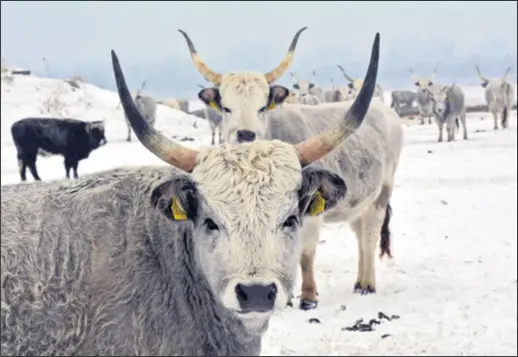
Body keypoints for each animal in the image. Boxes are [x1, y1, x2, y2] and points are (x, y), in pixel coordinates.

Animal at [179, 29, 406, 310]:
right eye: (226, 108)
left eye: (262, 107)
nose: (245, 134)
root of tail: (385, 111)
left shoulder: (310, 213)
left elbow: (305, 255)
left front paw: (308, 297)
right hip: (359, 202)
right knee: (361, 235)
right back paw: (359, 282)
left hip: (381, 194)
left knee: (370, 235)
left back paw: (367, 284)